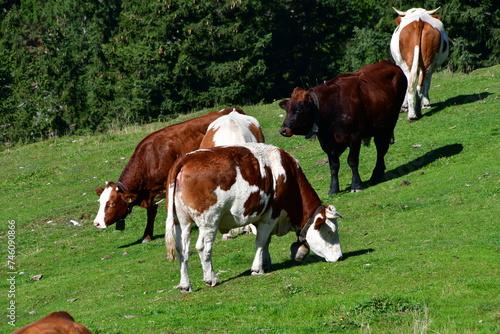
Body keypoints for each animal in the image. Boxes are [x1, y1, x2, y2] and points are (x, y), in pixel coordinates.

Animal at [93, 107, 244, 243]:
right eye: (100, 202)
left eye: (111, 203)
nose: (97, 223)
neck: (150, 158)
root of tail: (231, 109)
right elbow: (151, 212)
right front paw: (147, 236)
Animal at [165, 144, 344, 292]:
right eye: (331, 232)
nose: (340, 257)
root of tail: (186, 158)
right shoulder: (271, 215)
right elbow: (260, 241)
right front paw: (257, 268)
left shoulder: (261, 217)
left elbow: (265, 242)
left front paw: (266, 263)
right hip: (209, 220)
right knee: (203, 247)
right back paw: (211, 278)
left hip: (182, 222)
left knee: (182, 250)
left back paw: (185, 285)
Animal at [280, 60, 408, 196]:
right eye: (287, 109)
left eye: (298, 109)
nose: (283, 130)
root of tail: (387, 62)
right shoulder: (328, 143)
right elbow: (333, 165)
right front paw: (333, 189)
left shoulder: (354, 135)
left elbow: (352, 160)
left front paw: (356, 185)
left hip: (387, 124)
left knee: (381, 148)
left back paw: (376, 175)